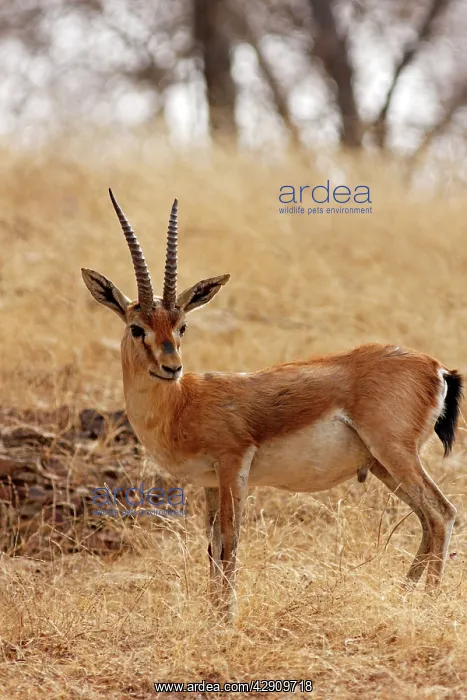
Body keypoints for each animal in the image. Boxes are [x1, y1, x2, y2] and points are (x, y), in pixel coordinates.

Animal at [82, 191, 462, 619]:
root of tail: (436, 368)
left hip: (394, 453)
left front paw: (227, 618)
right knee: (427, 519)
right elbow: (212, 546)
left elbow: (230, 541)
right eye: (137, 328)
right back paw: (402, 596)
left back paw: (426, 603)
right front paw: (214, 614)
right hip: (382, 465)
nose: (171, 367)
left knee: (442, 513)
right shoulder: (210, 483)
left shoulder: (233, 466)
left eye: (182, 327)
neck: (182, 404)